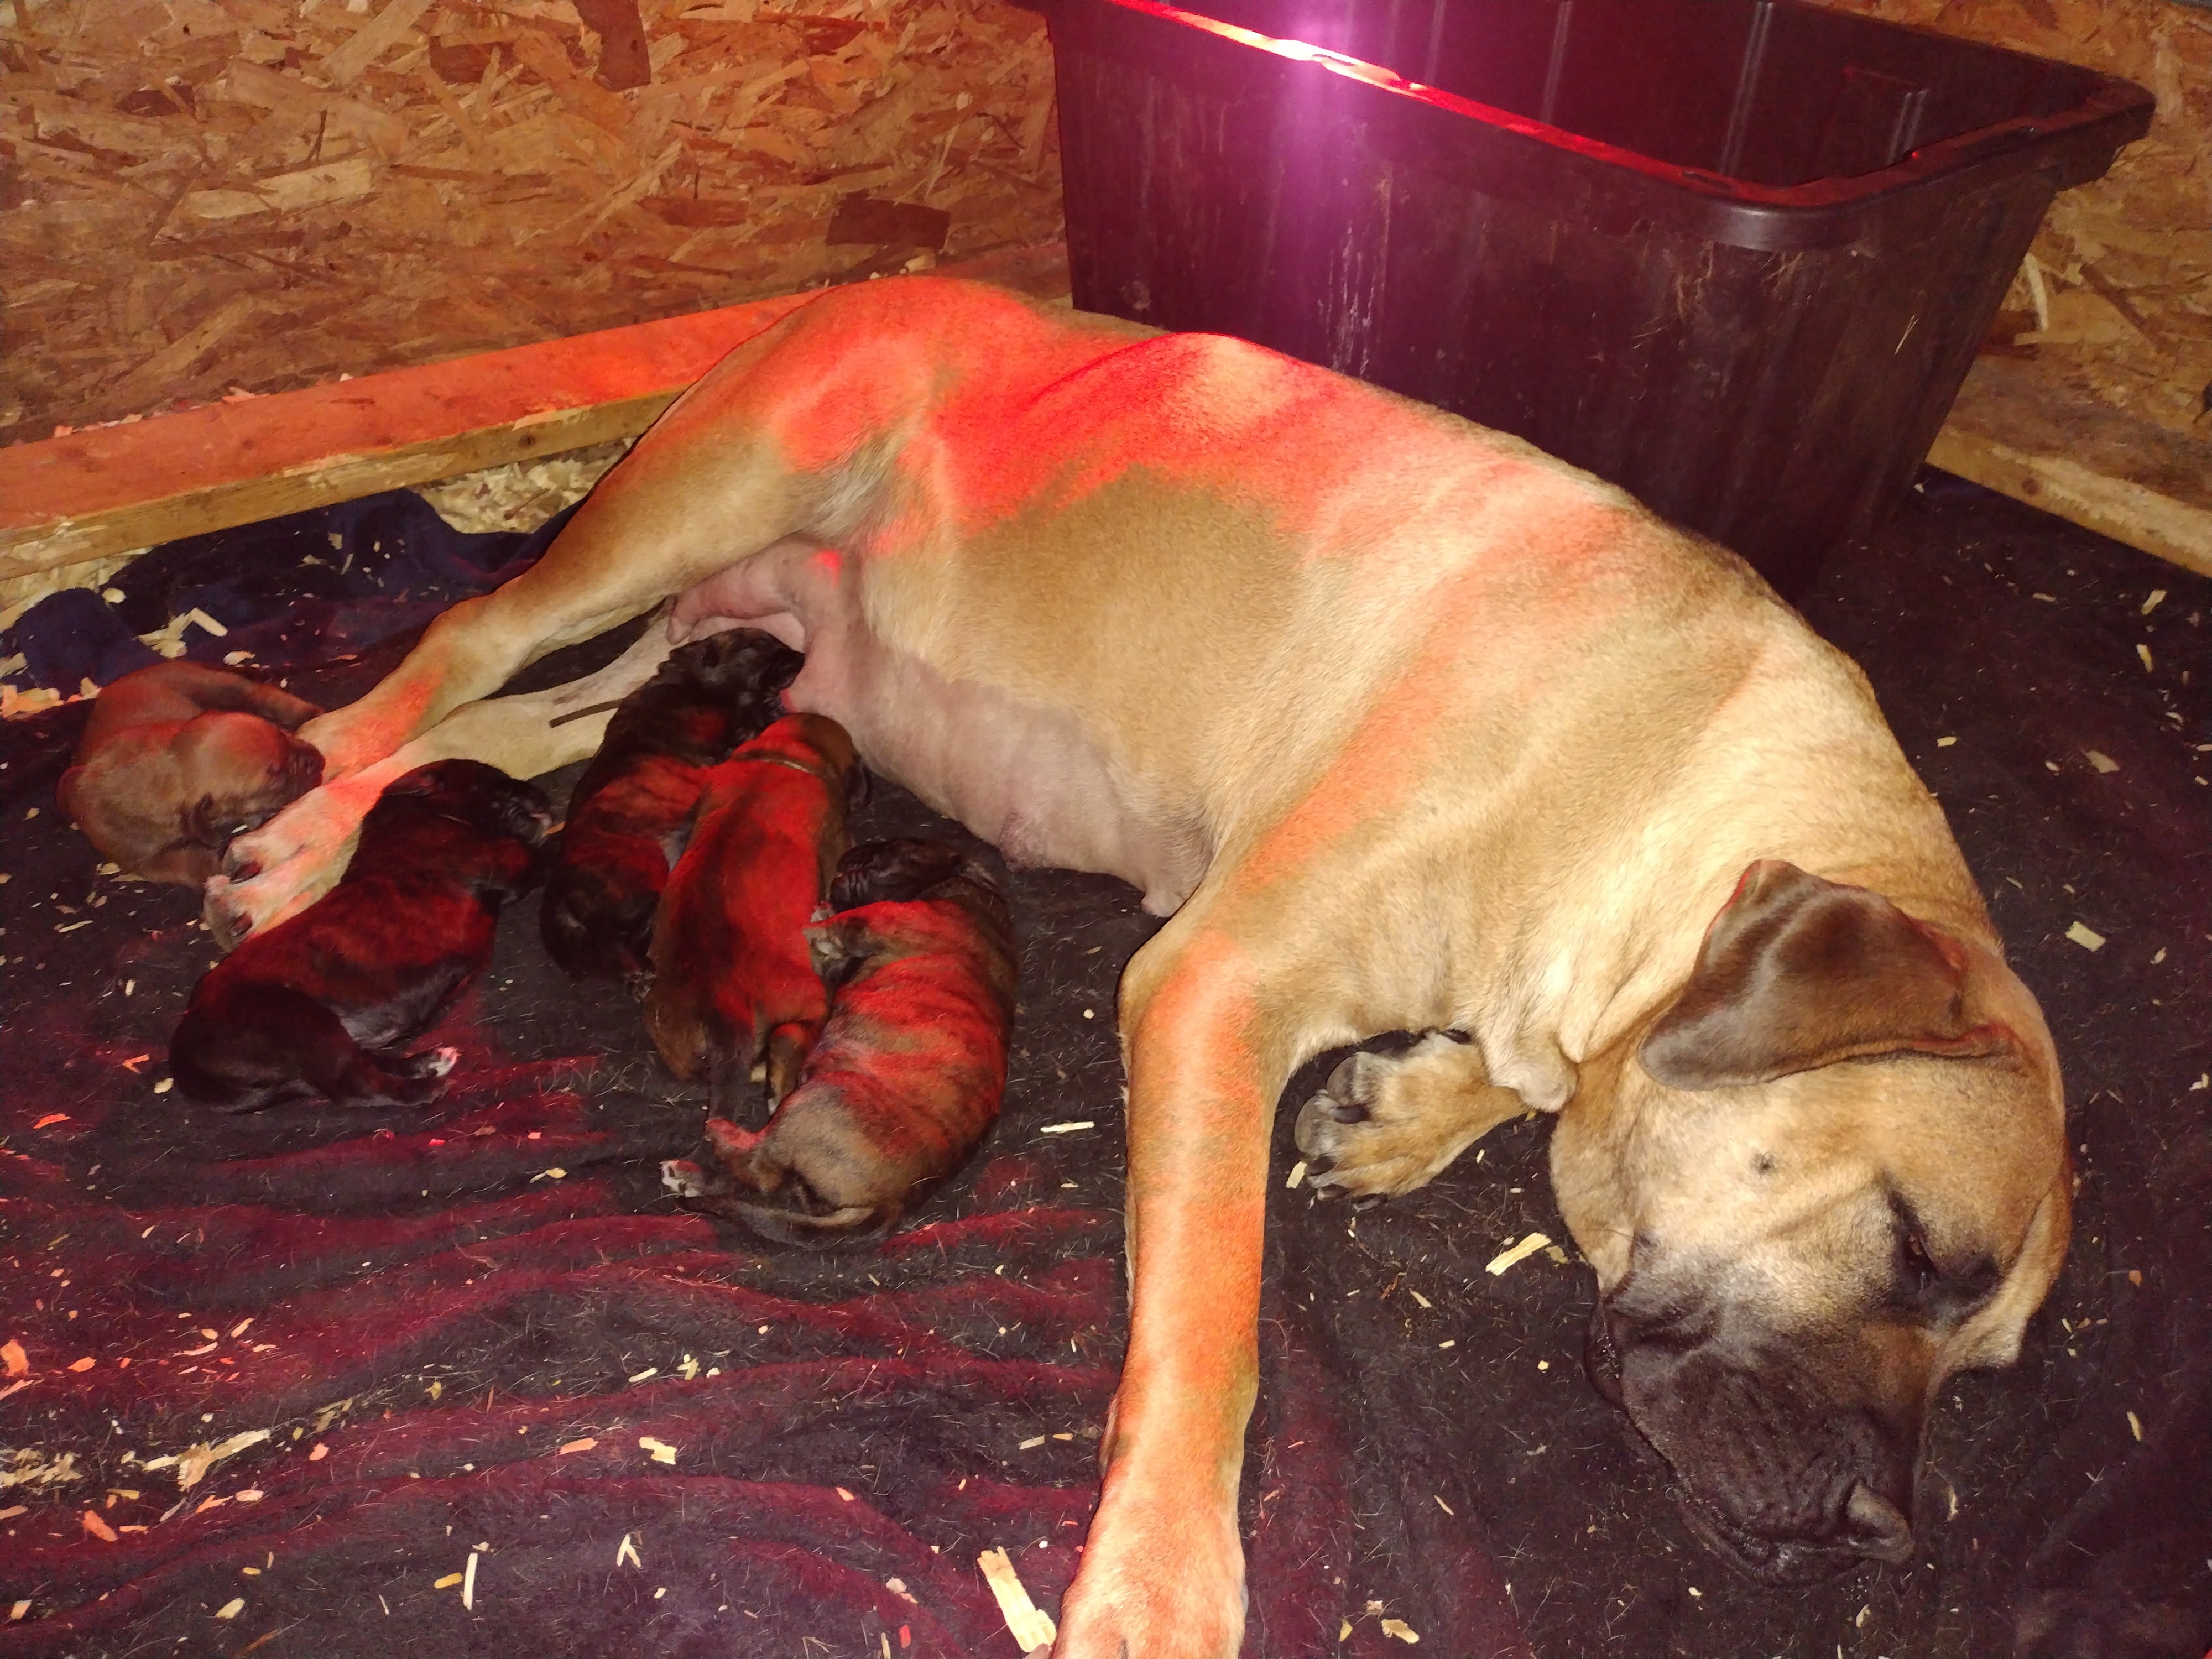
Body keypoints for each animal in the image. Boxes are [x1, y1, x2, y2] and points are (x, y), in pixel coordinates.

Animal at [59, 660, 324, 884]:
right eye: (277, 776)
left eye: (282, 735)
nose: (318, 760)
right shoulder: (148, 861)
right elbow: (187, 863)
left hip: (214, 684)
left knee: (260, 694)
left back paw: (309, 713)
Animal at [171, 760, 551, 1110]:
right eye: (495, 781)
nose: (542, 794)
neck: (425, 812)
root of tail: (184, 1044)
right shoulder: (510, 864)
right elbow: (542, 853)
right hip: (305, 1027)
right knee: (355, 1088)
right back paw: (425, 1088)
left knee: (365, 1065)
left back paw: (425, 1063)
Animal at [541, 627, 803, 984]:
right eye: (758, 645)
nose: (801, 656)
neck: (697, 685)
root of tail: (559, 900)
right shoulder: (718, 746)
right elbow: (748, 728)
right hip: (640, 879)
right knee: (611, 939)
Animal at [662, 836, 1018, 1245]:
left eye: (888, 852)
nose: (853, 854)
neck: (963, 884)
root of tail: (892, 1203)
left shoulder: (877, 921)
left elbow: (835, 927)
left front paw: (814, 924)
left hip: (818, 1099)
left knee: (763, 1169)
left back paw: (715, 1142)